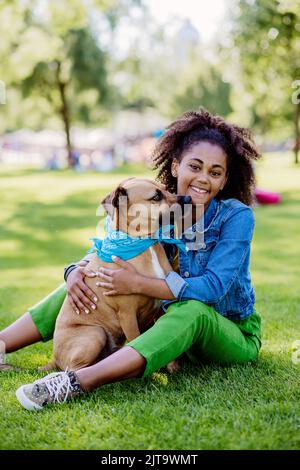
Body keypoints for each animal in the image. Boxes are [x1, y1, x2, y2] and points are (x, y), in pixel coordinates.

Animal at [45, 176, 184, 370]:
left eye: (166, 188)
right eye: (156, 197)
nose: (186, 198)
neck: (145, 244)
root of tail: (55, 359)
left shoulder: (161, 309)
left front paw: (172, 367)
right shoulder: (127, 315)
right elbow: (137, 339)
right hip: (95, 334)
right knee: (75, 368)